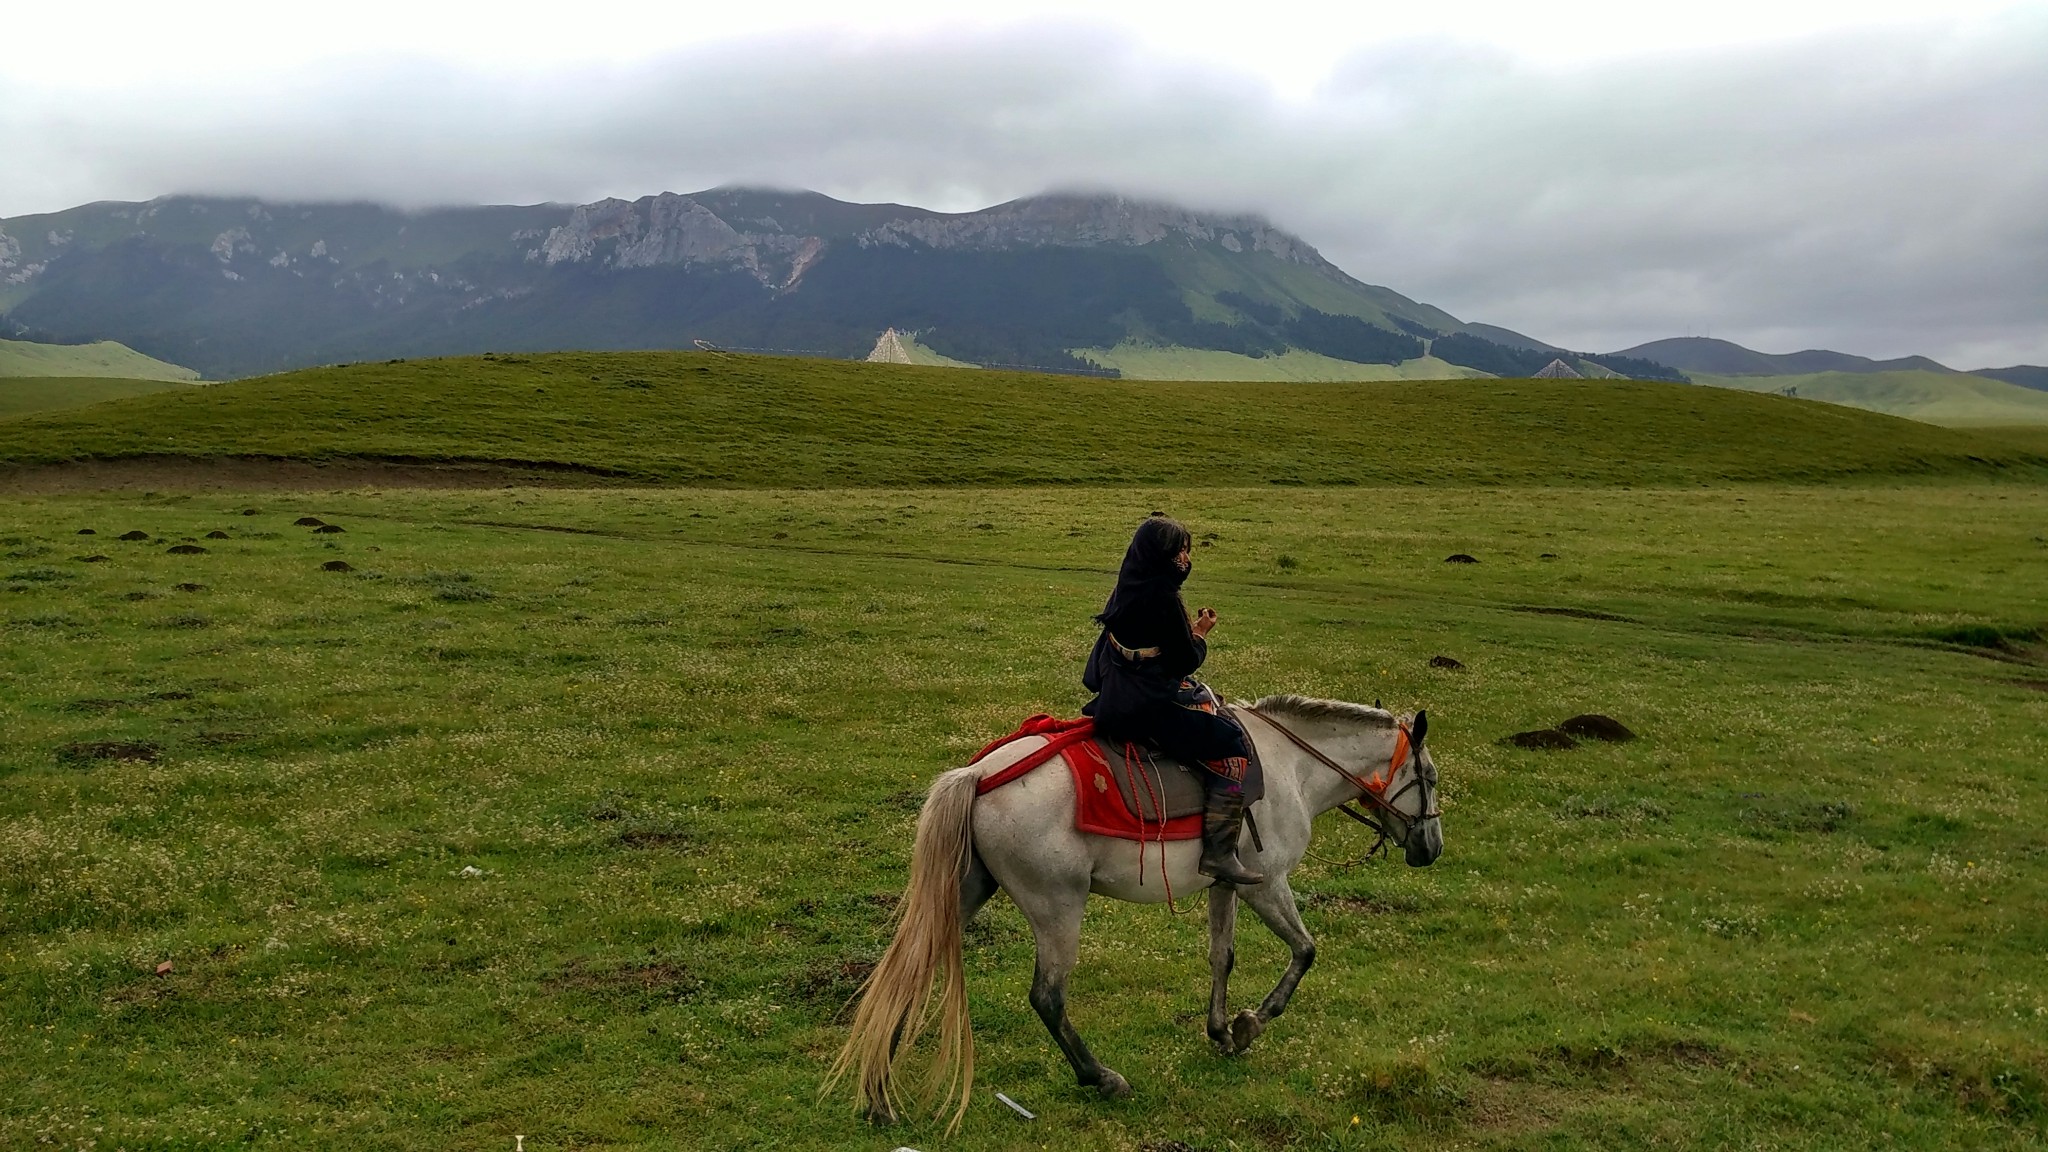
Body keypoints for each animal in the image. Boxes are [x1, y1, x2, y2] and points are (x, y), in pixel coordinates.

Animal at [823, 688, 1449, 1123]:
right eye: (1432, 778)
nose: (1432, 848)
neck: (1290, 767)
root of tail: (979, 774)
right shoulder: (1266, 883)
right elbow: (1305, 950)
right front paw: (1250, 1024)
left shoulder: (1226, 884)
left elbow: (1222, 958)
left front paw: (1221, 1032)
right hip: (1057, 908)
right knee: (1047, 997)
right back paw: (1101, 1077)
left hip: (968, 890)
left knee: (911, 968)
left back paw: (879, 1088)